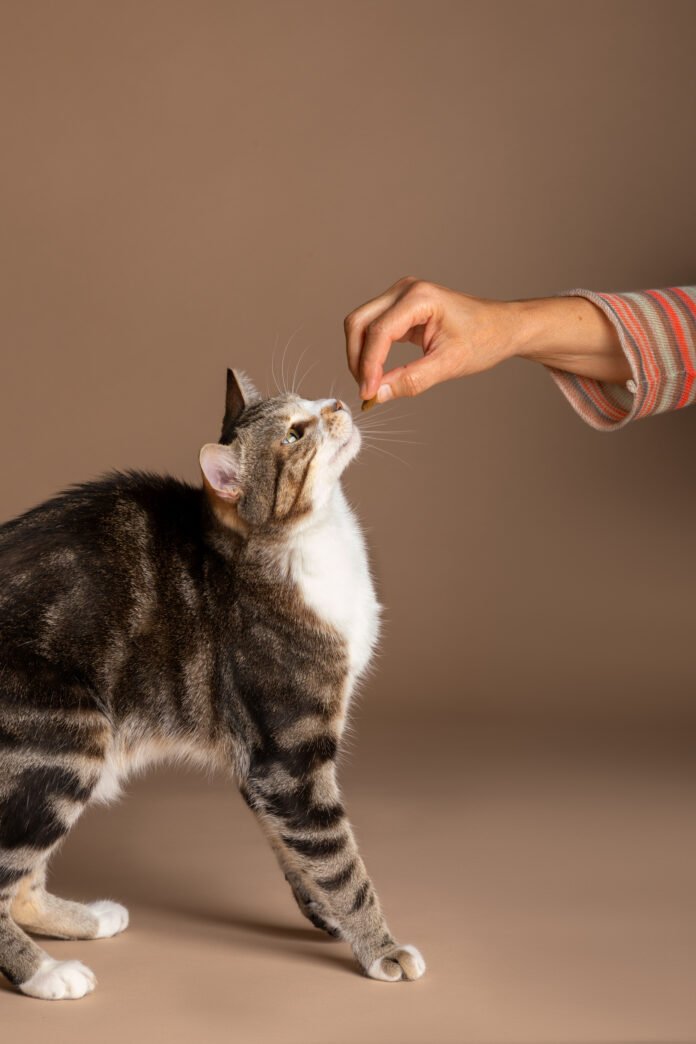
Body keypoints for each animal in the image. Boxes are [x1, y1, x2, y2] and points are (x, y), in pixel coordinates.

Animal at [0, 371, 425, 998]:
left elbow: (296, 844)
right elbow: (339, 858)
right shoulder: (290, 753)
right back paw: (45, 974)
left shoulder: (260, 761)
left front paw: (325, 913)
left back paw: (88, 920)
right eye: (295, 434)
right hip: (67, 738)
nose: (338, 402)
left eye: (307, 403)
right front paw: (380, 946)